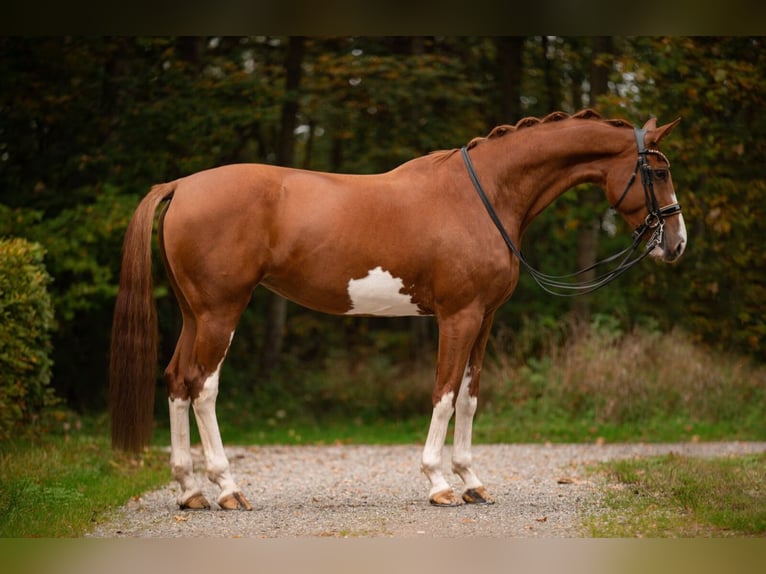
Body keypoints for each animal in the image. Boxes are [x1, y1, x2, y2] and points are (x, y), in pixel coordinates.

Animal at [109, 110, 688, 510]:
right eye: (658, 171)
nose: (677, 243)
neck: (483, 196)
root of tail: (182, 185)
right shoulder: (458, 316)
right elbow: (444, 395)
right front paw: (438, 483)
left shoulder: (485, 319)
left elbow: (469, 398)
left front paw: (472, 481)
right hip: (220, 312)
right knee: (203, 387)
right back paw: (227, 488)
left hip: (194, 313)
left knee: (176, 380)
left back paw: (189, 491)